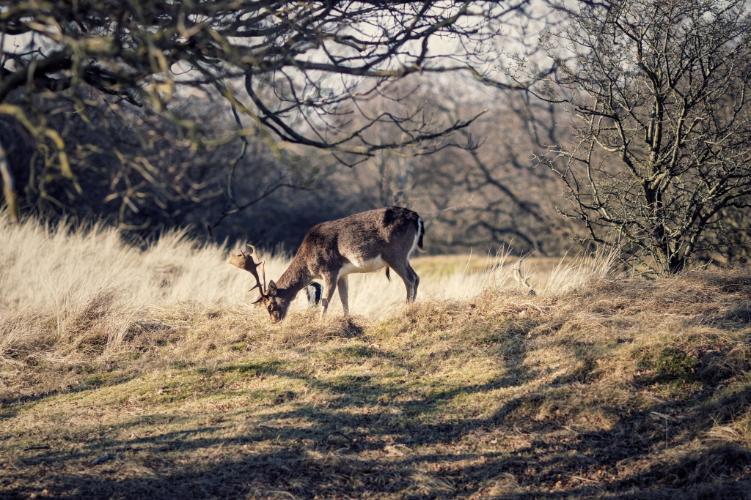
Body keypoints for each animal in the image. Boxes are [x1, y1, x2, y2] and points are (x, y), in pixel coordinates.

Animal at [228, 206, 424, 322]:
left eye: (270, 305)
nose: (275, 320)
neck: (309, 262)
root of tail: (416, 217)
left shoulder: (330, 269)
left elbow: (326, 300)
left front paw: (320, 322)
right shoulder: (343, 273)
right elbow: (345, 299)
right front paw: (347, 319)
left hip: (395, 253)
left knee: (410, 279)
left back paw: (407, 310)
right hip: (404, 256)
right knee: (417, 277)